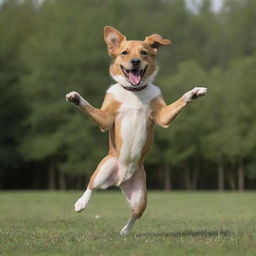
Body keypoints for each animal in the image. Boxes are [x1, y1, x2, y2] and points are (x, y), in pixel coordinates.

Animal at [65, 26, 207, 236]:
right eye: (124, 52)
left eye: (144, 52)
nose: (135, 61)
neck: (134, 91)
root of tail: (119, 180)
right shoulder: (105, 120)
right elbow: (89, 108)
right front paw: (76, 98)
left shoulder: (163, 116)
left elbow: (181, 100)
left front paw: (195, 92)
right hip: (104, 168)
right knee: (91, 186)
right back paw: (81, 203)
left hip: (141, 196)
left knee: (134, 214)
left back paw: (124, 231)